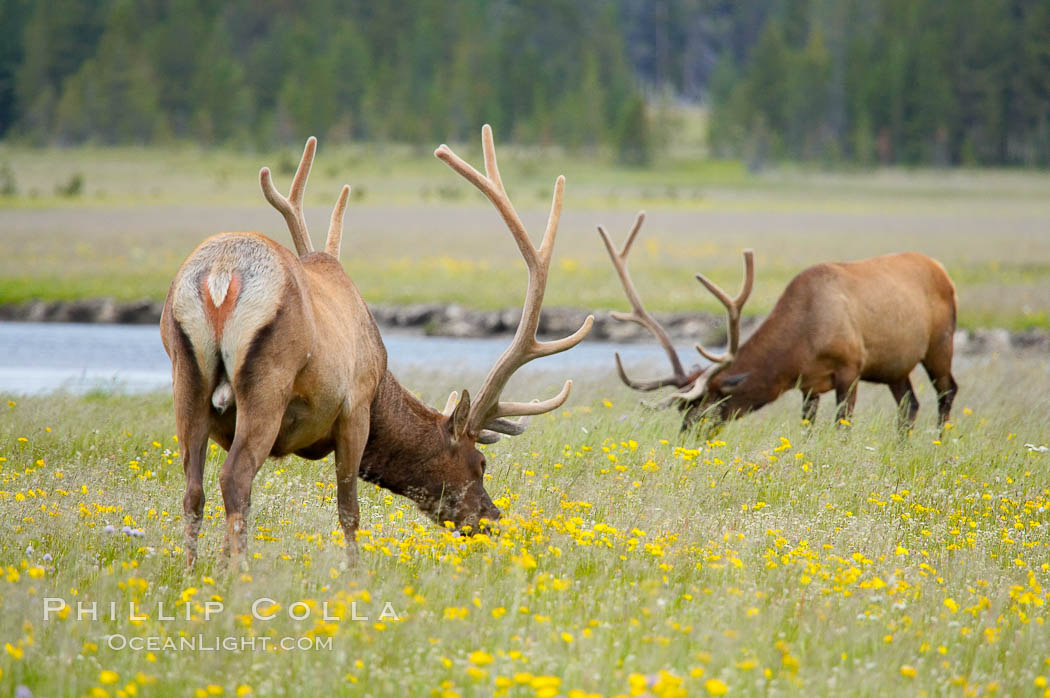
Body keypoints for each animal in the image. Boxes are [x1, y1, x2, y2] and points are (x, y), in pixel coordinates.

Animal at [160, 122, 596, 562]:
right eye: (481, 462)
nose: (491, 520)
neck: (382, 385)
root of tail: (221, 276)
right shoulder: (355, 408)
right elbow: (349, 510)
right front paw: (355, 573)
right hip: (267, 383)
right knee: (235, 479)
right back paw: (239, 571)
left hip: (186, 377)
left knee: (193, 492)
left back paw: (195, 570)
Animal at [600, 210, 961, 430]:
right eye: (682, 410)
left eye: (708, 404)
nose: (686, 436)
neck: (802, 342)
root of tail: (943, 270)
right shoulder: (808, 384)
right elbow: (808, 427)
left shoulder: (850, 367)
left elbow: (842, 426)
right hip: (895, 366)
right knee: (909, 405)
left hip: (939, 345)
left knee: (947, 392)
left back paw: (938, 443)